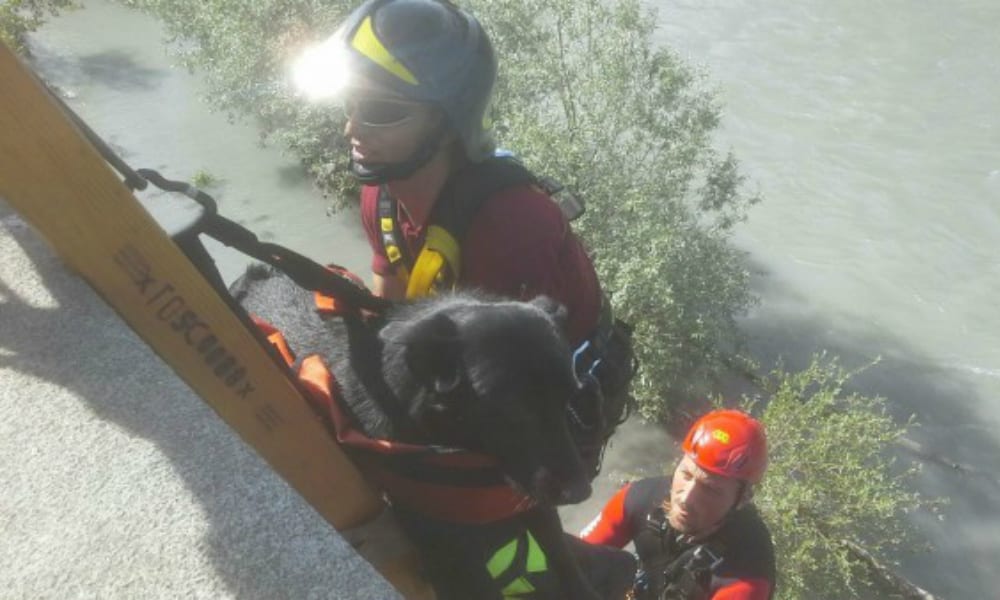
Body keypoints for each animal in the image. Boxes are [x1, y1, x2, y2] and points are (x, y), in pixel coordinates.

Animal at [232, 268, 632, 600]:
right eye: (514, 409)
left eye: (568, 398)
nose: (581, 492)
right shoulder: (452, 550)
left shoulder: (531, 502)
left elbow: (564, 559)